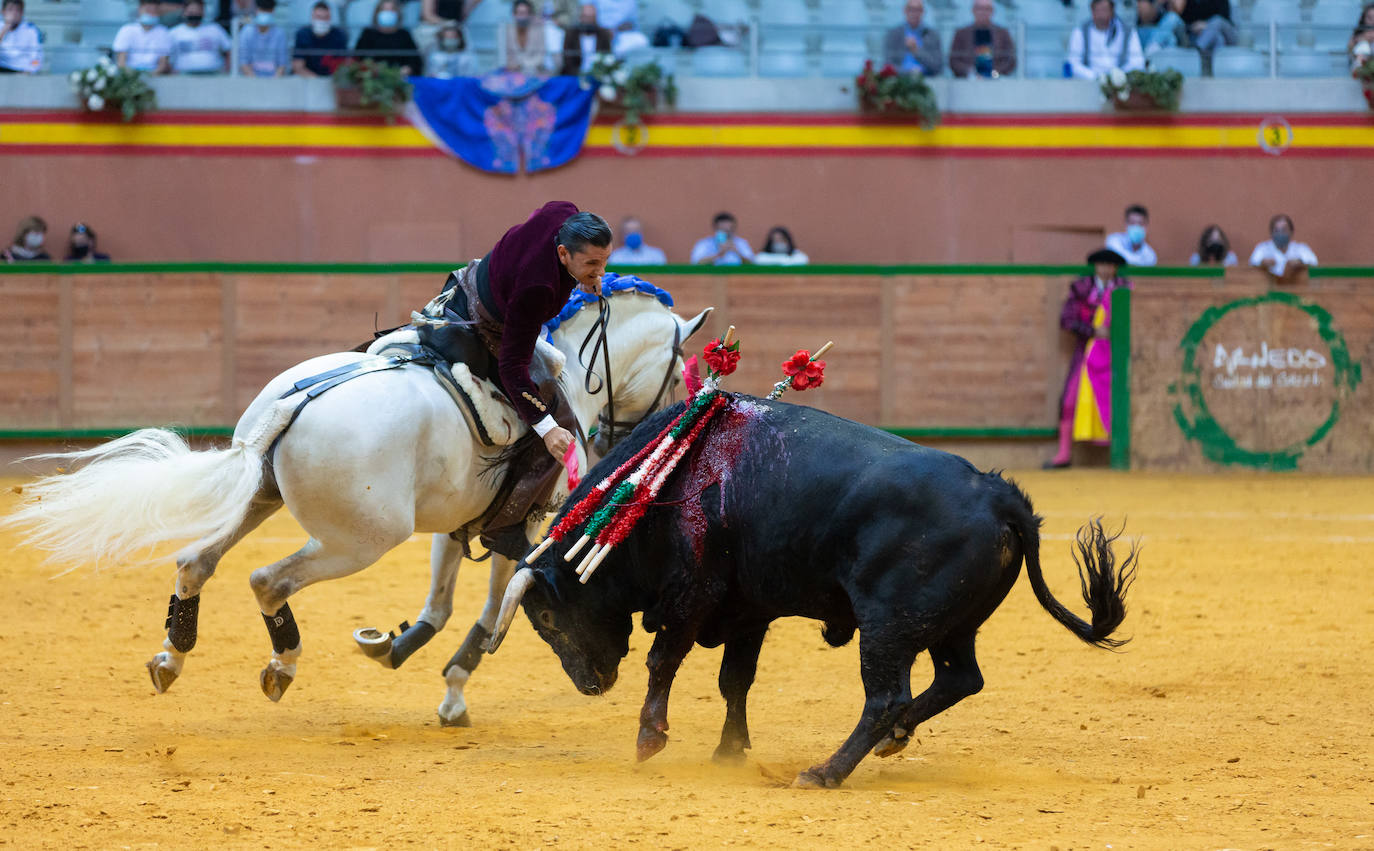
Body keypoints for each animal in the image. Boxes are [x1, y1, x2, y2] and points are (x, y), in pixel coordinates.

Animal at [2, 291, 708, 725]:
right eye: (679, 373)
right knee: (266, 579)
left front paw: (398, 649)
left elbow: (441, 604)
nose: (634, 433)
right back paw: (280, 666)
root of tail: (292, 404)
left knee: (195, 562)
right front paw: (454, 690)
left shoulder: (456, 525)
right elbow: (488, 614)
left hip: (260, 496)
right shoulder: (525, 527)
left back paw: (171, 658)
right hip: (359, 541)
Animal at [486, 395, 1137, 786]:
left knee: (887, 697)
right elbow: (735, 681)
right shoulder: (746, 611)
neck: (660, 491)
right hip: (952, 626)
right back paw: (893, 741)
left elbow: (663, 662)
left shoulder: (691, 598)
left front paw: (650, 738)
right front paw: (730, 751)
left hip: (887, 627)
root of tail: (1000, 495)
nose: (591, 684)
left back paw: (826, 771)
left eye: (546, 619)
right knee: (959, 678)